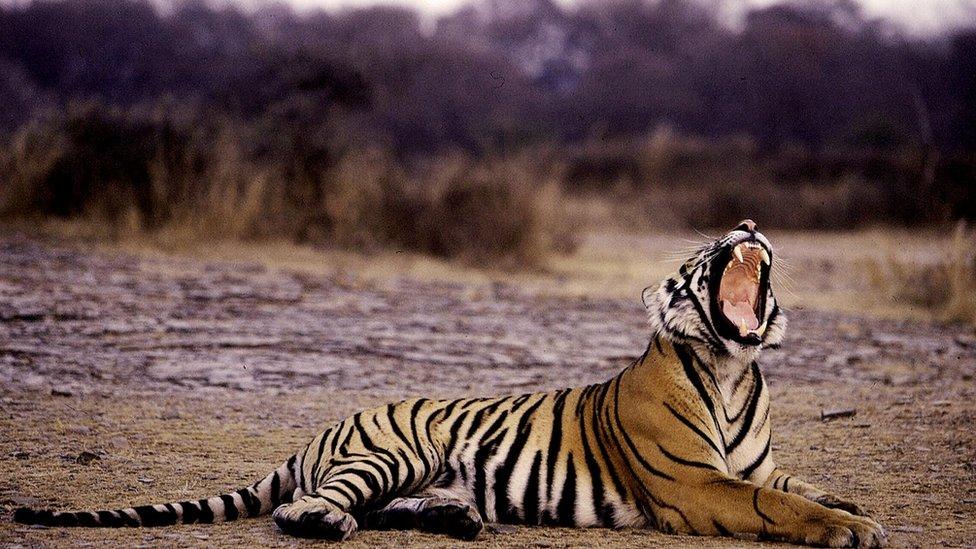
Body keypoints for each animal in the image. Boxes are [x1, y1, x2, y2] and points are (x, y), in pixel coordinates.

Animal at [13, 220, 884, 544]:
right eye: (701, 251)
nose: (747, 224)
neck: (734, 369)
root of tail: (320, 428)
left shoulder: (757, 462)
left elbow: (797, 482)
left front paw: (854, 504)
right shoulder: (696, 484)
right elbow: (774, 503)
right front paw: (852, 527)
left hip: (418, 468)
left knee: (389, 505)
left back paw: (456, 518)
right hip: (392, 449)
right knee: (310, 505)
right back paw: (331, 522)